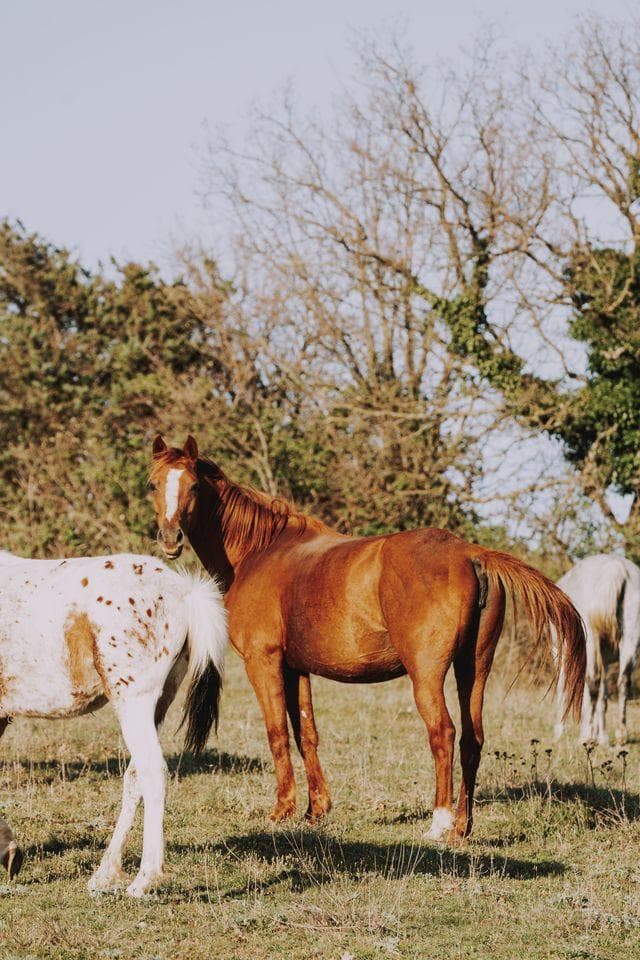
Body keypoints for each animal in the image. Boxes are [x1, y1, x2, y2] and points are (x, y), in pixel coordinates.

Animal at [0, 550, 227, 896]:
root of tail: (184, 592)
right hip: (157, 705)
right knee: (135, 777)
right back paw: (104, 874)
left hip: (134, 702)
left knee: (152, 773)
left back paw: (143, 880)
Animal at [149, 435, 586, 842]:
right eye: (154, 484)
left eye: (193, 486)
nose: (170, 539)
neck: (260, 552)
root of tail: (470, 553)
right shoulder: (296, 669)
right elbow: (306, 733)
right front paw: (316, 811)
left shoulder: (264, 662)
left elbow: (277, 733)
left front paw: (282, 810)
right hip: (474, 669)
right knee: (472, 739)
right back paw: (462, 827)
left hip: (427, 675)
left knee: (443, 733)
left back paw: (439, 823)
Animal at [554, 553, 640, 746]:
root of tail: (615, 568)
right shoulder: (605, 660)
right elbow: (603, 697)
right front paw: (602, 737)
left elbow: (566, 689)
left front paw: (561, 731)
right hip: (630, 638)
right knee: (623, 682)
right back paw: (620, 736)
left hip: (591, 641)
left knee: (592, 682)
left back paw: (586, 738)